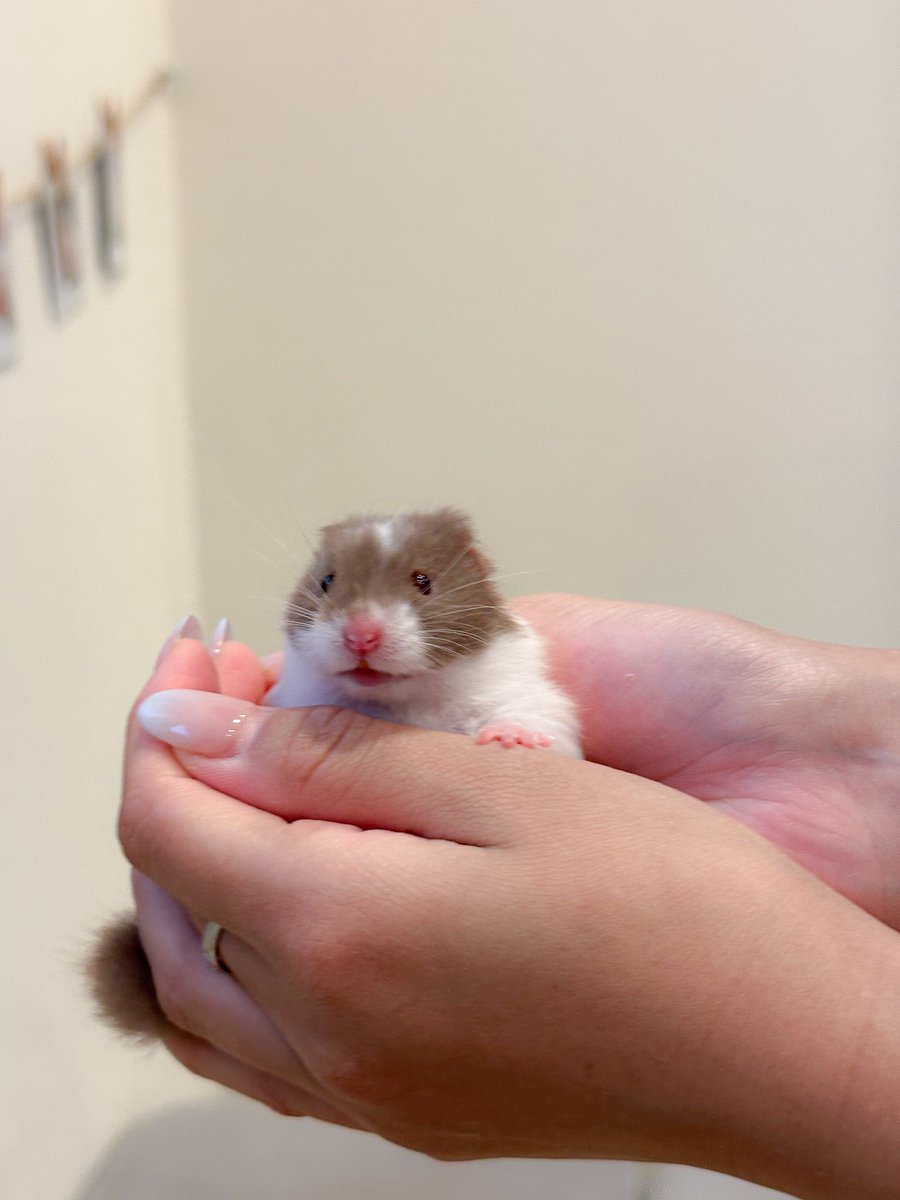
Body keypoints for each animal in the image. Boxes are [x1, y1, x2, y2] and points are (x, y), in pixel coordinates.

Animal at [87, 508, 582, 1042]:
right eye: (327, 581)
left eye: (424, 581)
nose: (360, 636)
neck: (397, 700)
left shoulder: (530, 695)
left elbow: (536, 722)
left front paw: (509, 740)